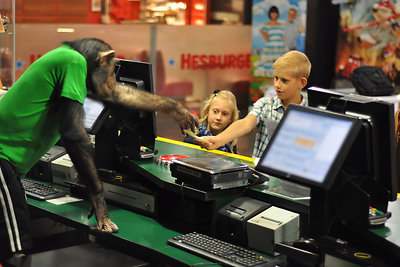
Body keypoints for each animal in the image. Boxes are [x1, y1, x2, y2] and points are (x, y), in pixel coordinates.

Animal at [0, 37, 198, 260]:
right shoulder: (73, 71)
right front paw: (99, 205)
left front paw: (177, 109)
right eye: (112, 70)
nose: (113, 79)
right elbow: (74, 133)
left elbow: (116, 95)